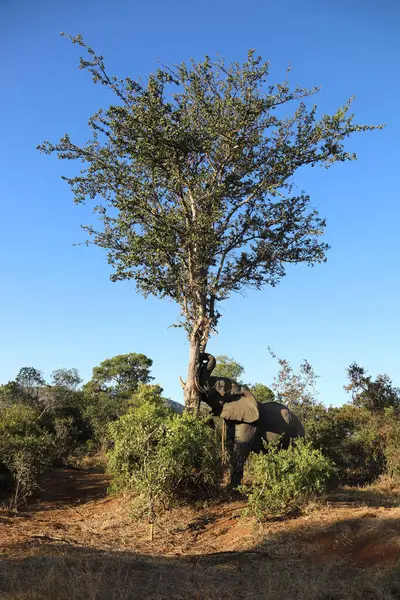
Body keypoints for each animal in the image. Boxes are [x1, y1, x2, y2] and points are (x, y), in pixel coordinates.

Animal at [196, 352, 304, 488]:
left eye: (220, 385)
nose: (202, 358)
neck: (242, 391)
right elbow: (230, 446)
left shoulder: (250, 424)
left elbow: (240, 449)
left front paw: (231, 488)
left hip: (296, 436)